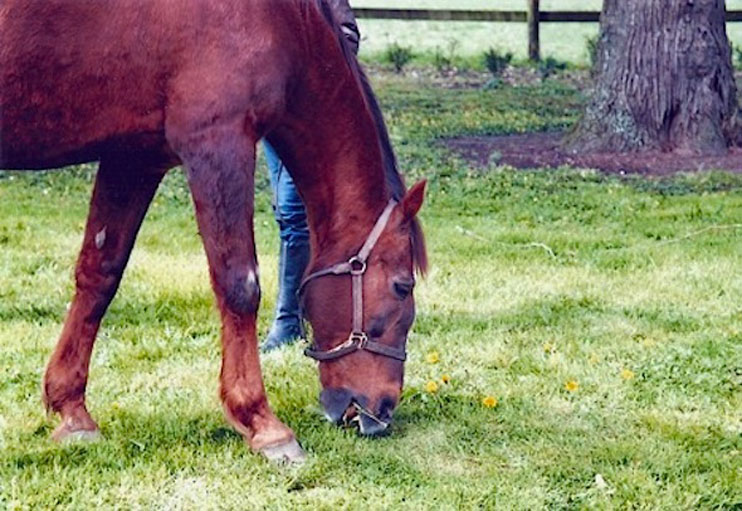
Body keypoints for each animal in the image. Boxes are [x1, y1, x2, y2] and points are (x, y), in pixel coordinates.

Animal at [1, 0, 430, 464]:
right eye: (402, 286)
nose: (382, 411)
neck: (281, 22)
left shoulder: (133, 156)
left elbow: (99, 276)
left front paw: (72, 410)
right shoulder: (220, 144)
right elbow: (239, 286)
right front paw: (263, 423)